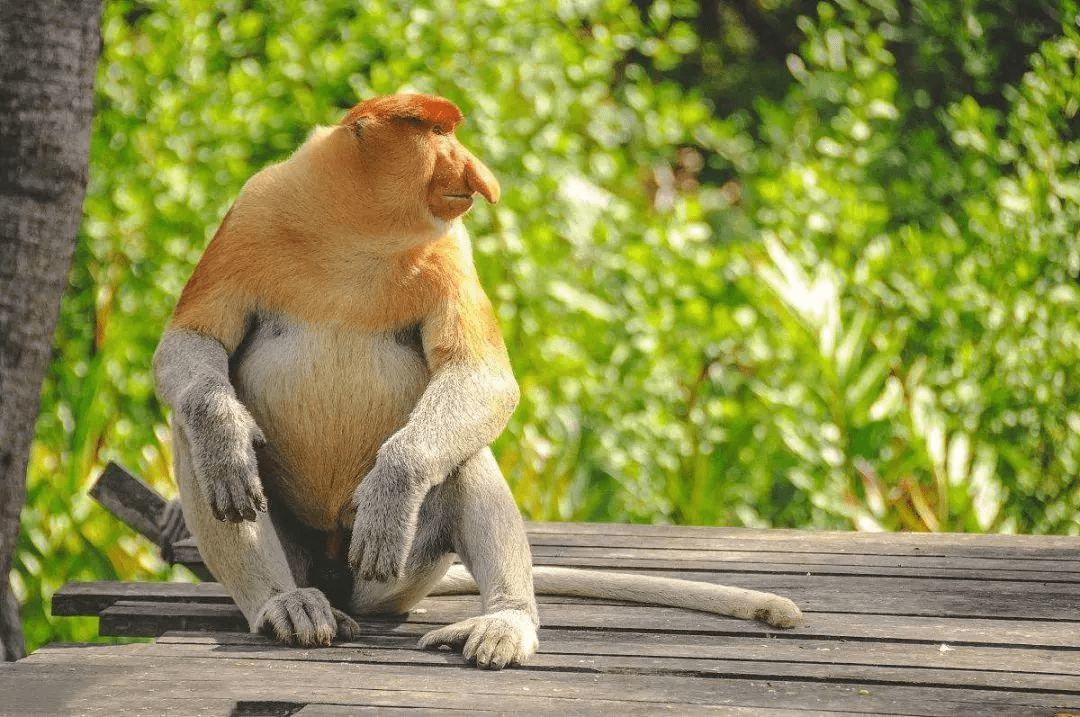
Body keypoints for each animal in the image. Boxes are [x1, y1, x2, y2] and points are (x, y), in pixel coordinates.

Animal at [154, 92, 803, 669]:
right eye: (437, 133)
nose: (478, 174)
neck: (357, 226)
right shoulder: (252, 213)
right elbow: (192, 341)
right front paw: (223, 434)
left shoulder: (451, 250)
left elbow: (481, 376)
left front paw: (394, 484)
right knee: (190, 434)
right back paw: (284, 600)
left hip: (402, 573)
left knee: (464, 453)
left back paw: (504, 621)